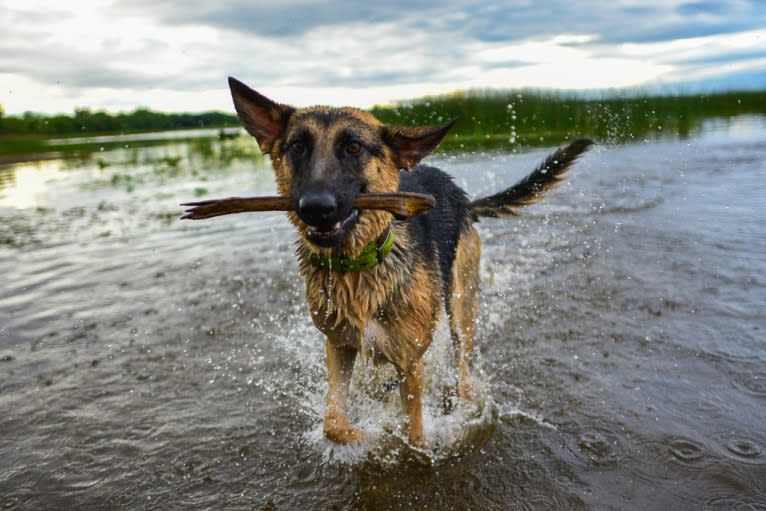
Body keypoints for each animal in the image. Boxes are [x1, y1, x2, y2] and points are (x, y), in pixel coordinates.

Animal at [228, 77, 592, 448]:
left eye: (354, 148)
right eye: (298, 147)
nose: (315, 207)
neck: (360, 264)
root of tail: (464, 199)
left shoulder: (411, 361)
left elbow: (415, 435)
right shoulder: (340, 344)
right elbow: (333, 423)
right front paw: (368, 436)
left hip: (460, 305)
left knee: (463, 368)